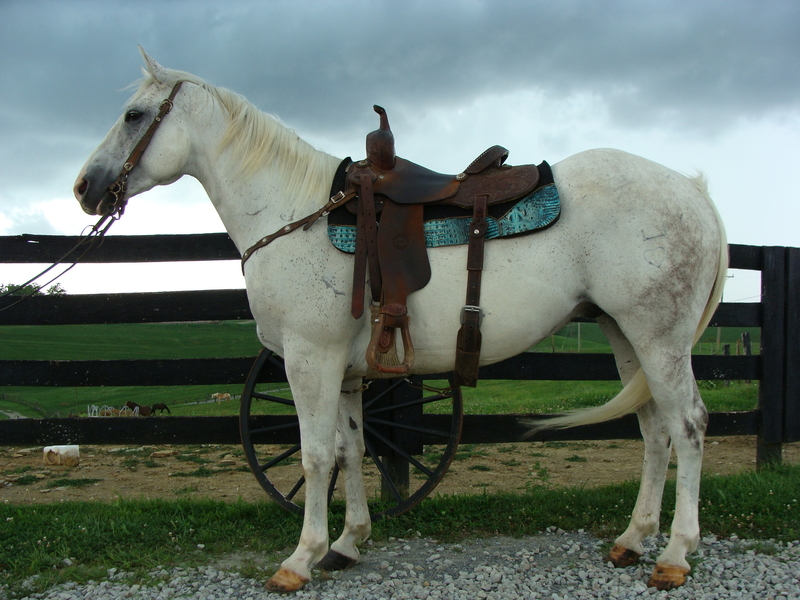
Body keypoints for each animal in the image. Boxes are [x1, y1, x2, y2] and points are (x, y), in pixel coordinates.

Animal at [74, 48, 727, 592]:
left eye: (134, 115)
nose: (85, 188)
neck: (296, 213)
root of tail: (693, 191)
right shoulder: (344, 371)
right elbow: (350, 450)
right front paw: (346, 544)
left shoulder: (310, 360)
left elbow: (314, 455)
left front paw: (300, 558)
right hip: (624, 333)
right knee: (654, 429)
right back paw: (632, 541)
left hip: (660, 339)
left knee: (688, 425)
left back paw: (675, 554)